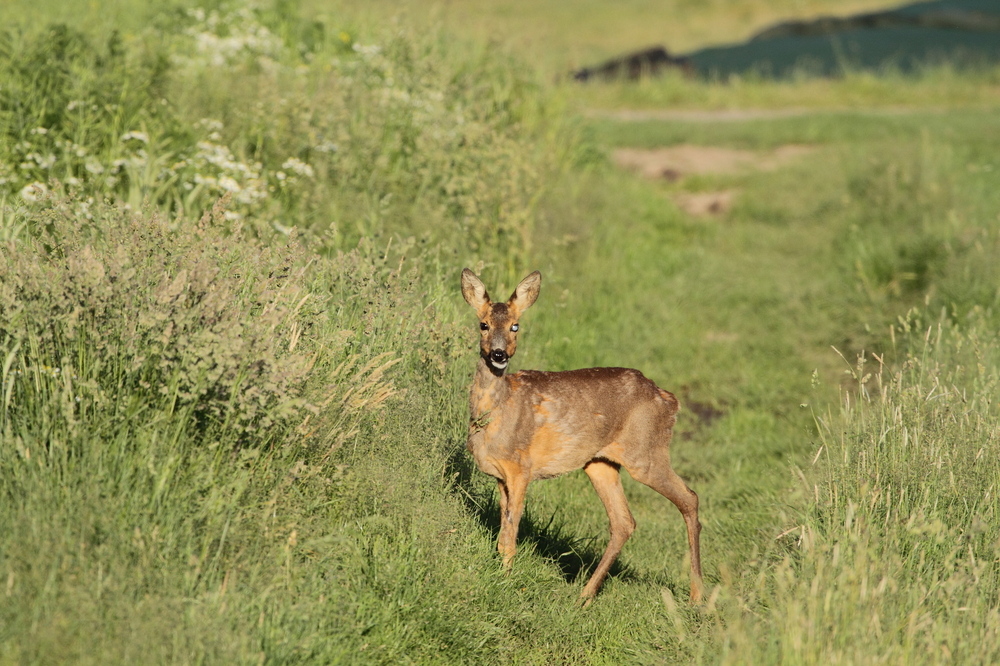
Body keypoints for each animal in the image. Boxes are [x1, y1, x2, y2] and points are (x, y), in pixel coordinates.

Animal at [460, 268, 704, 600]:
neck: (497, 412)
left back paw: (698, 596)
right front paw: (503, 577)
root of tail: (669, 400)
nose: (499, 354)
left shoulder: (522, 467)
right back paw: (584, 596)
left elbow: (511, 531)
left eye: (515, 326)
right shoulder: (500, 475)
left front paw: (505, 584)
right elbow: (503, 531)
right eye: (483, 324)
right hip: (600, 462)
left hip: (646, 452)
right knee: (624, 521)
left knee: (689, 498)